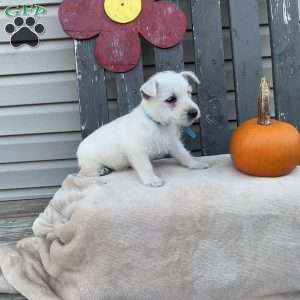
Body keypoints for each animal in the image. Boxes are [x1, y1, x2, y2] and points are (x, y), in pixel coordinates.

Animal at [76, 71, 210, 186]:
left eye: (189, 93)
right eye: (171, 99)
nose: (194, 112)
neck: (157, 123)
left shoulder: (173, 143)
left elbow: (184, 154)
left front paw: (195, 163)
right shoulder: (138, 151)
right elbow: (146, 166)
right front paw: (152, 180)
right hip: (91, 162)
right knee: (82, 173)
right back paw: (100, 171)